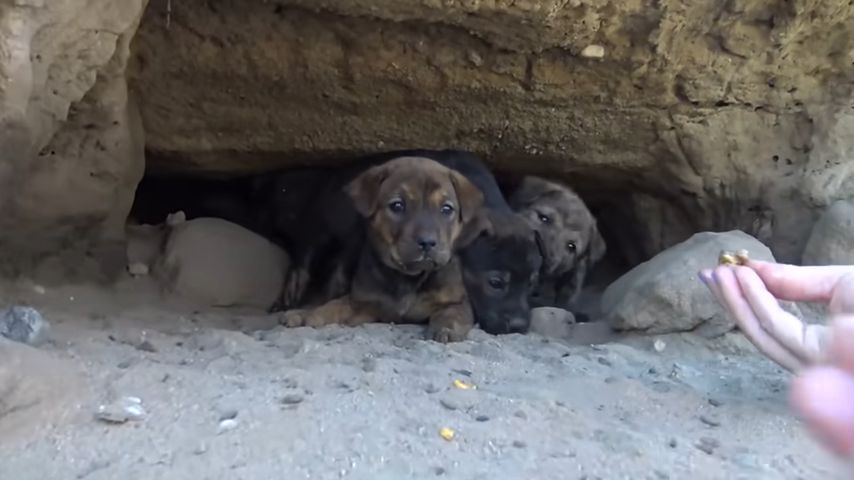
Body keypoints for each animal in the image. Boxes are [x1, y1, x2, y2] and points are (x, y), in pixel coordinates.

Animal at [284, 157, 488, 342]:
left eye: (446, 208)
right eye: (397, 205)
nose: (428, 242)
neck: (408, 278)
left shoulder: (457, 301)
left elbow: (452, 314)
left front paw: (446, 329)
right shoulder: (361, 304)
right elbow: (333, 306)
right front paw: (308, 315)